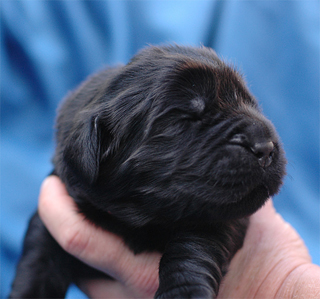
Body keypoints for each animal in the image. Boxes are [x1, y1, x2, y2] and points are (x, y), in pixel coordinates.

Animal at [10, 45, 286, 299]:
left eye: (251, 103)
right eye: (188, 117)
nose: (265, 147)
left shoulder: (220, 214)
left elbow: (195, 245)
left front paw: (185, 291)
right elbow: (39, 256)